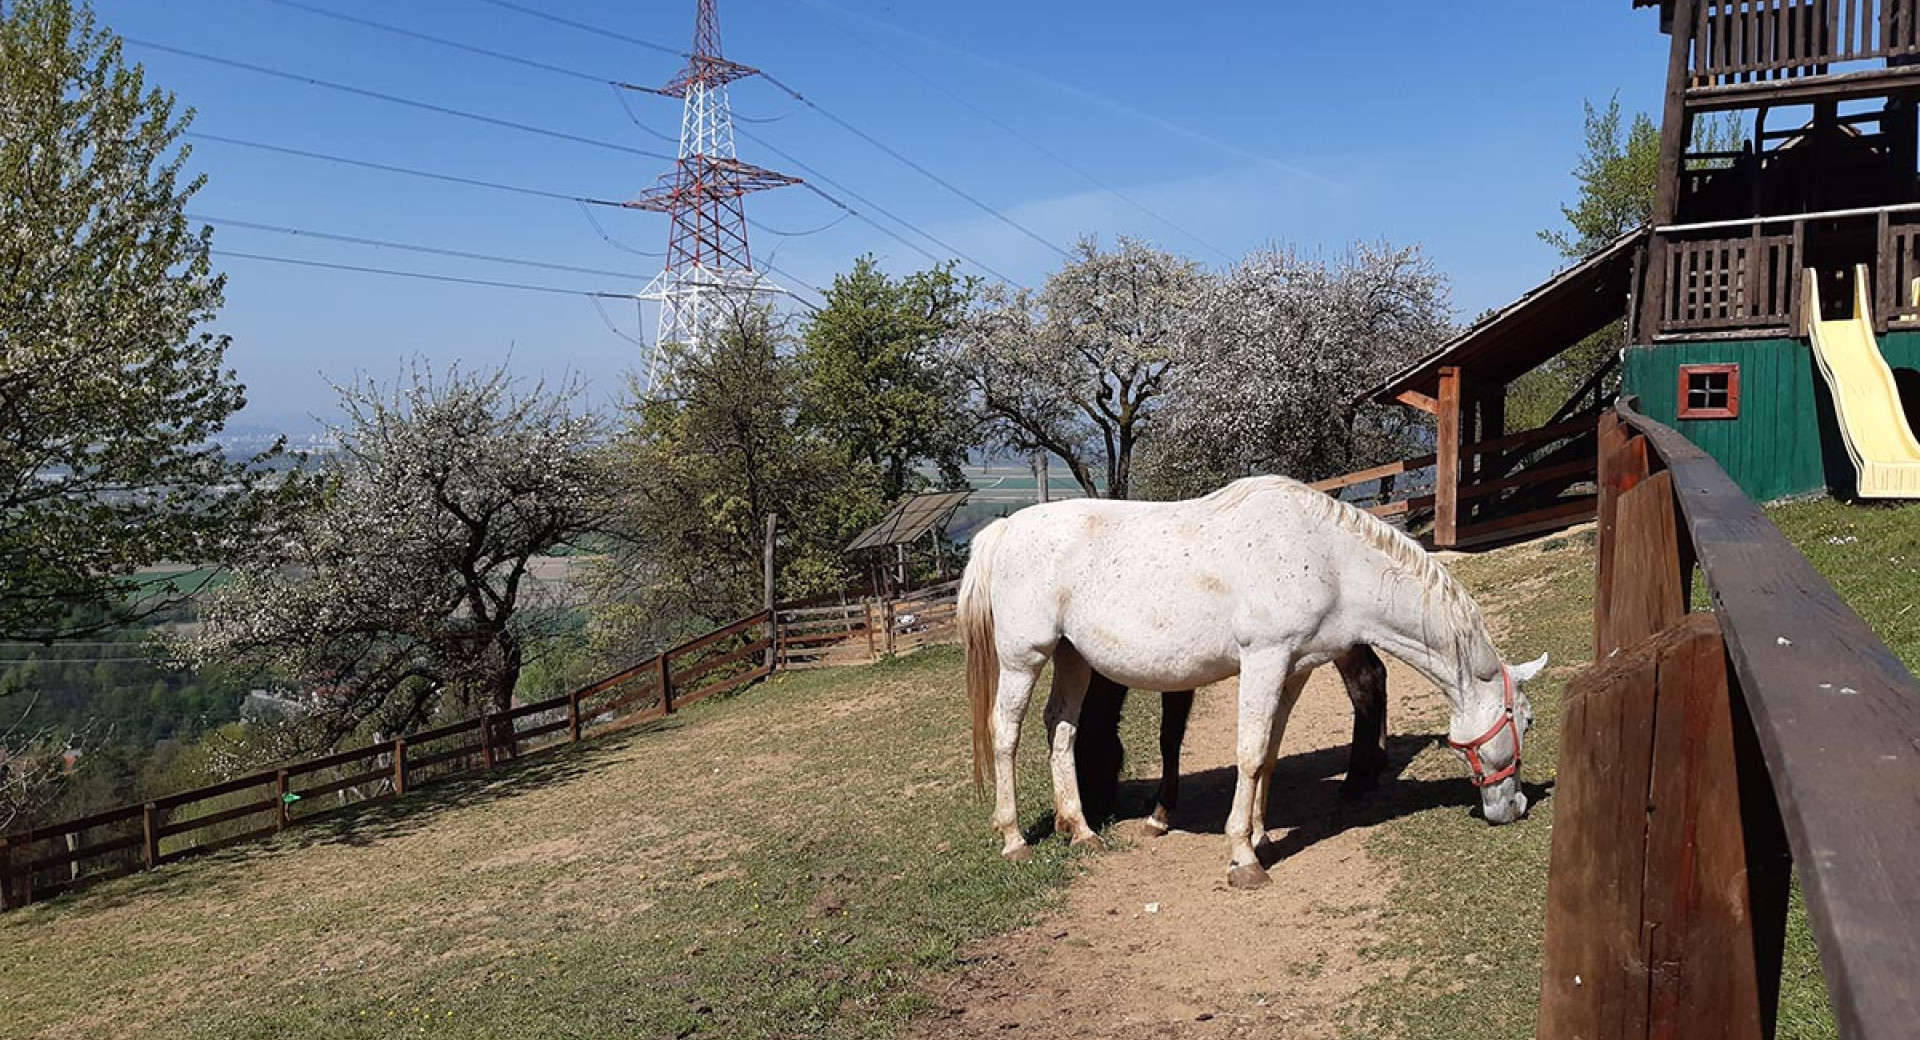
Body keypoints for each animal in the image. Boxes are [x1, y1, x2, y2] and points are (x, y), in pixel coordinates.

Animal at [960, 477, 1543, 894]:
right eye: (1528, 721)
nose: (1513, 807)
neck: (1330, 559)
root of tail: (1004, 530)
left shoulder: (1294, 668)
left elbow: (1269, 754)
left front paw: (1261, 835)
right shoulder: (1263, 660)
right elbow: (1249, 752)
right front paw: (1243, 857)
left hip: (1072, 658)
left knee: (1061, 728)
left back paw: (1079, 829)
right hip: (1024, 657)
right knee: (1006, 733)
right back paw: (1014, 839)